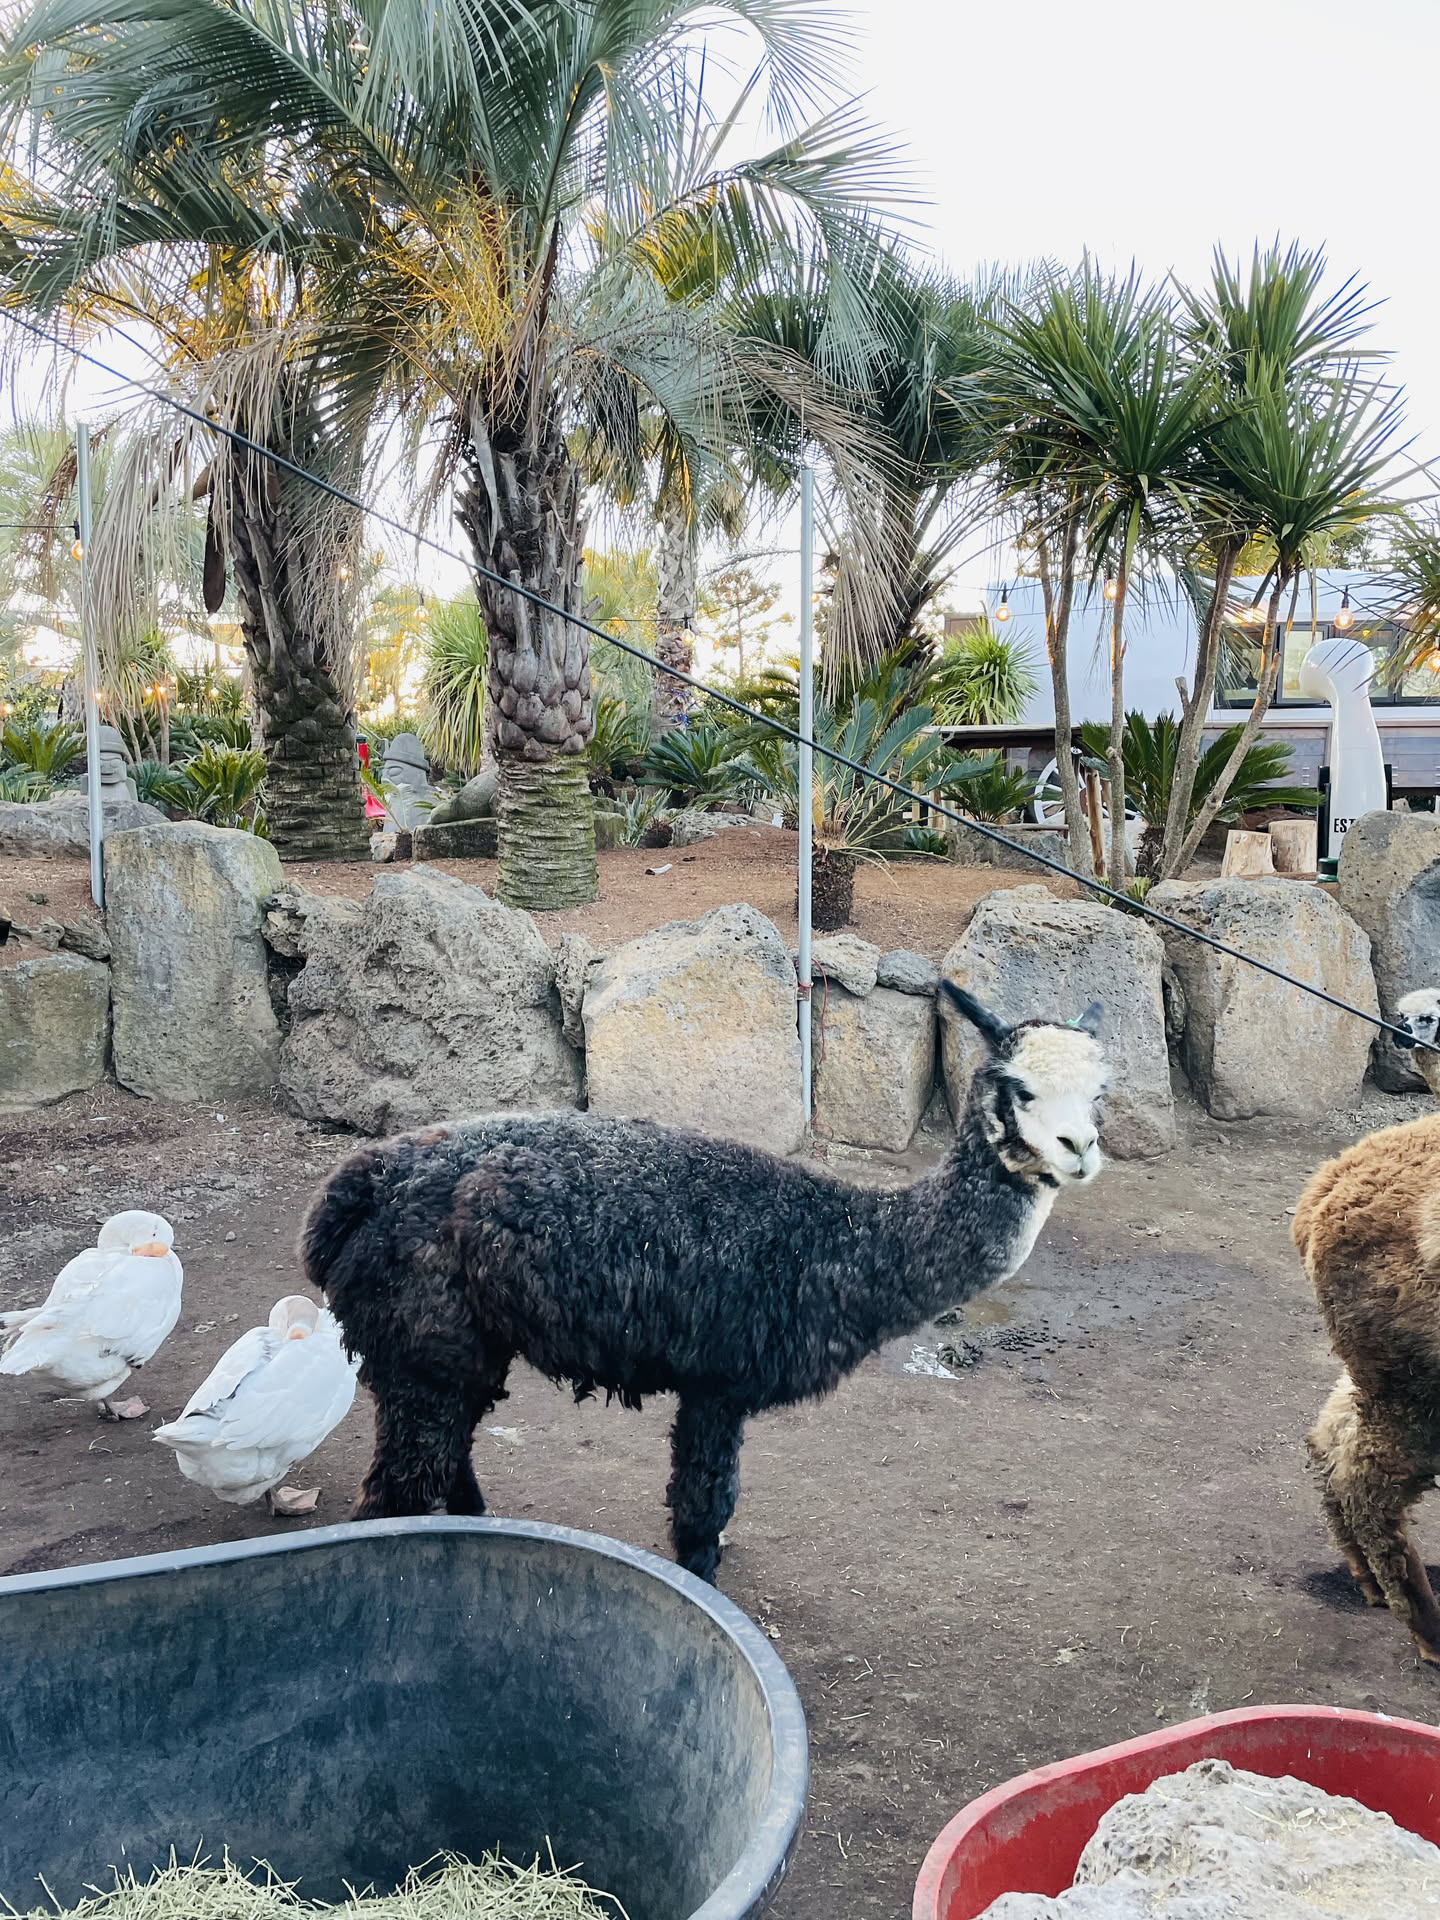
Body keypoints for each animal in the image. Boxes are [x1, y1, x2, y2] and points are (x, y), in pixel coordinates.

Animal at [301, 983, 1107, 1582]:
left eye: (1101, 1093)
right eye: (1019, 1089)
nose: (1080, 1148)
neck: (840, 1243)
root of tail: (354, 1190)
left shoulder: (717, 1382)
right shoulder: (719, 1381)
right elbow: (702, 1510)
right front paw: (703, 1582)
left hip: (454, 1347)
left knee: (449, 1450)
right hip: (421, 1341)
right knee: (394, 1493)